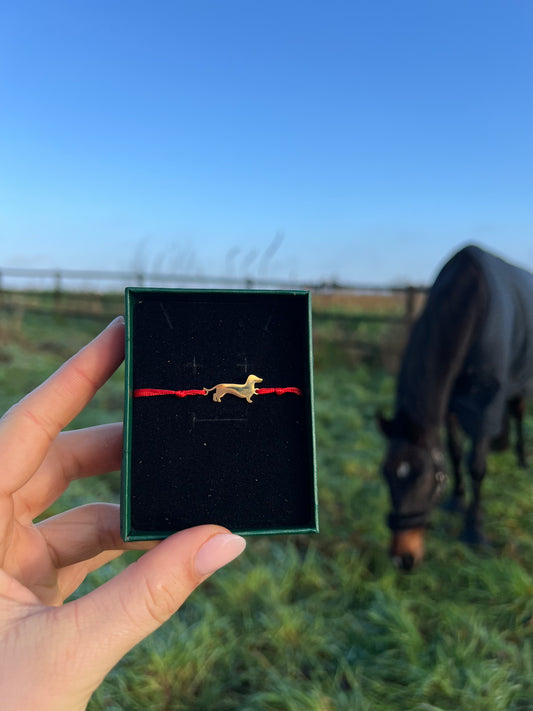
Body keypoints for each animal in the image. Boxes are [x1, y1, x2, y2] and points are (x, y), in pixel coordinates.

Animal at [378, 245, 533, 570]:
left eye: (425, 478)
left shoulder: (484, 403)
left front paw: (474, 530)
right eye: (386, 474)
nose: (403, 559)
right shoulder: (451, 405)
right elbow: (455, 451)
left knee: (518, 414)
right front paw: (457, 501)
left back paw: (523, 460)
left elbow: (476, 466)